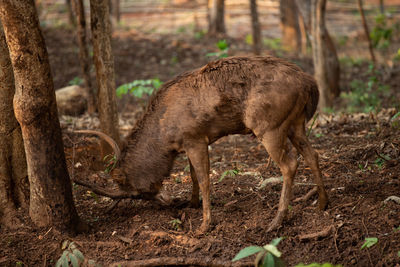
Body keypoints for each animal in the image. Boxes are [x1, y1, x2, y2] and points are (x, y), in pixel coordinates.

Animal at [74, 55, 328, 233]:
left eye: (138, 193)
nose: (166, 202)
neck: (165, 137)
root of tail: (311, 84)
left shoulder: (195, 137)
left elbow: (205, 179)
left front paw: (204, 225)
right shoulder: (188, 141)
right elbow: (193, 175)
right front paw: (191, 203)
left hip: (268, 125)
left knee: (290, 164)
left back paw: (276, 221)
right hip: (296, 122)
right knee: (312, 154)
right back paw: (322, 204)